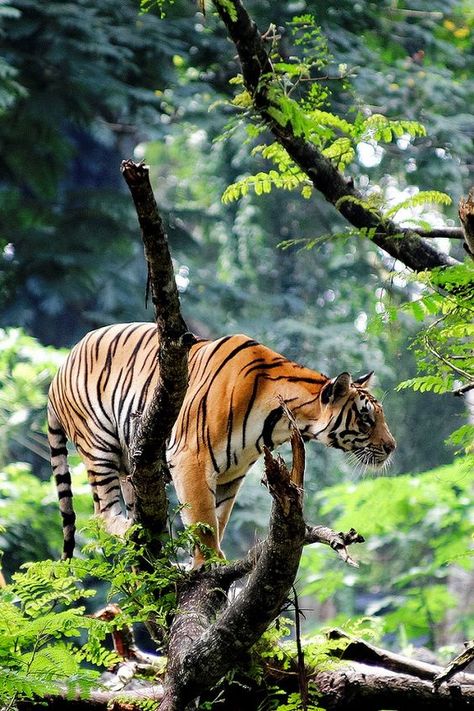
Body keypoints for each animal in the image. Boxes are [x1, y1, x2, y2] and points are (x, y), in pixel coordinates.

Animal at [48, 322, 396, 560]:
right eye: (366, 418)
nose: (392, 447)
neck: (282, 421)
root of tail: (59, 369)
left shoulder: (232, 473)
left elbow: (218, 518)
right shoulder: (192, 457)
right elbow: (203, 520)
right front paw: (209, 563)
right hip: (99, 446)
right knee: (102, 513)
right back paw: (134, 532)